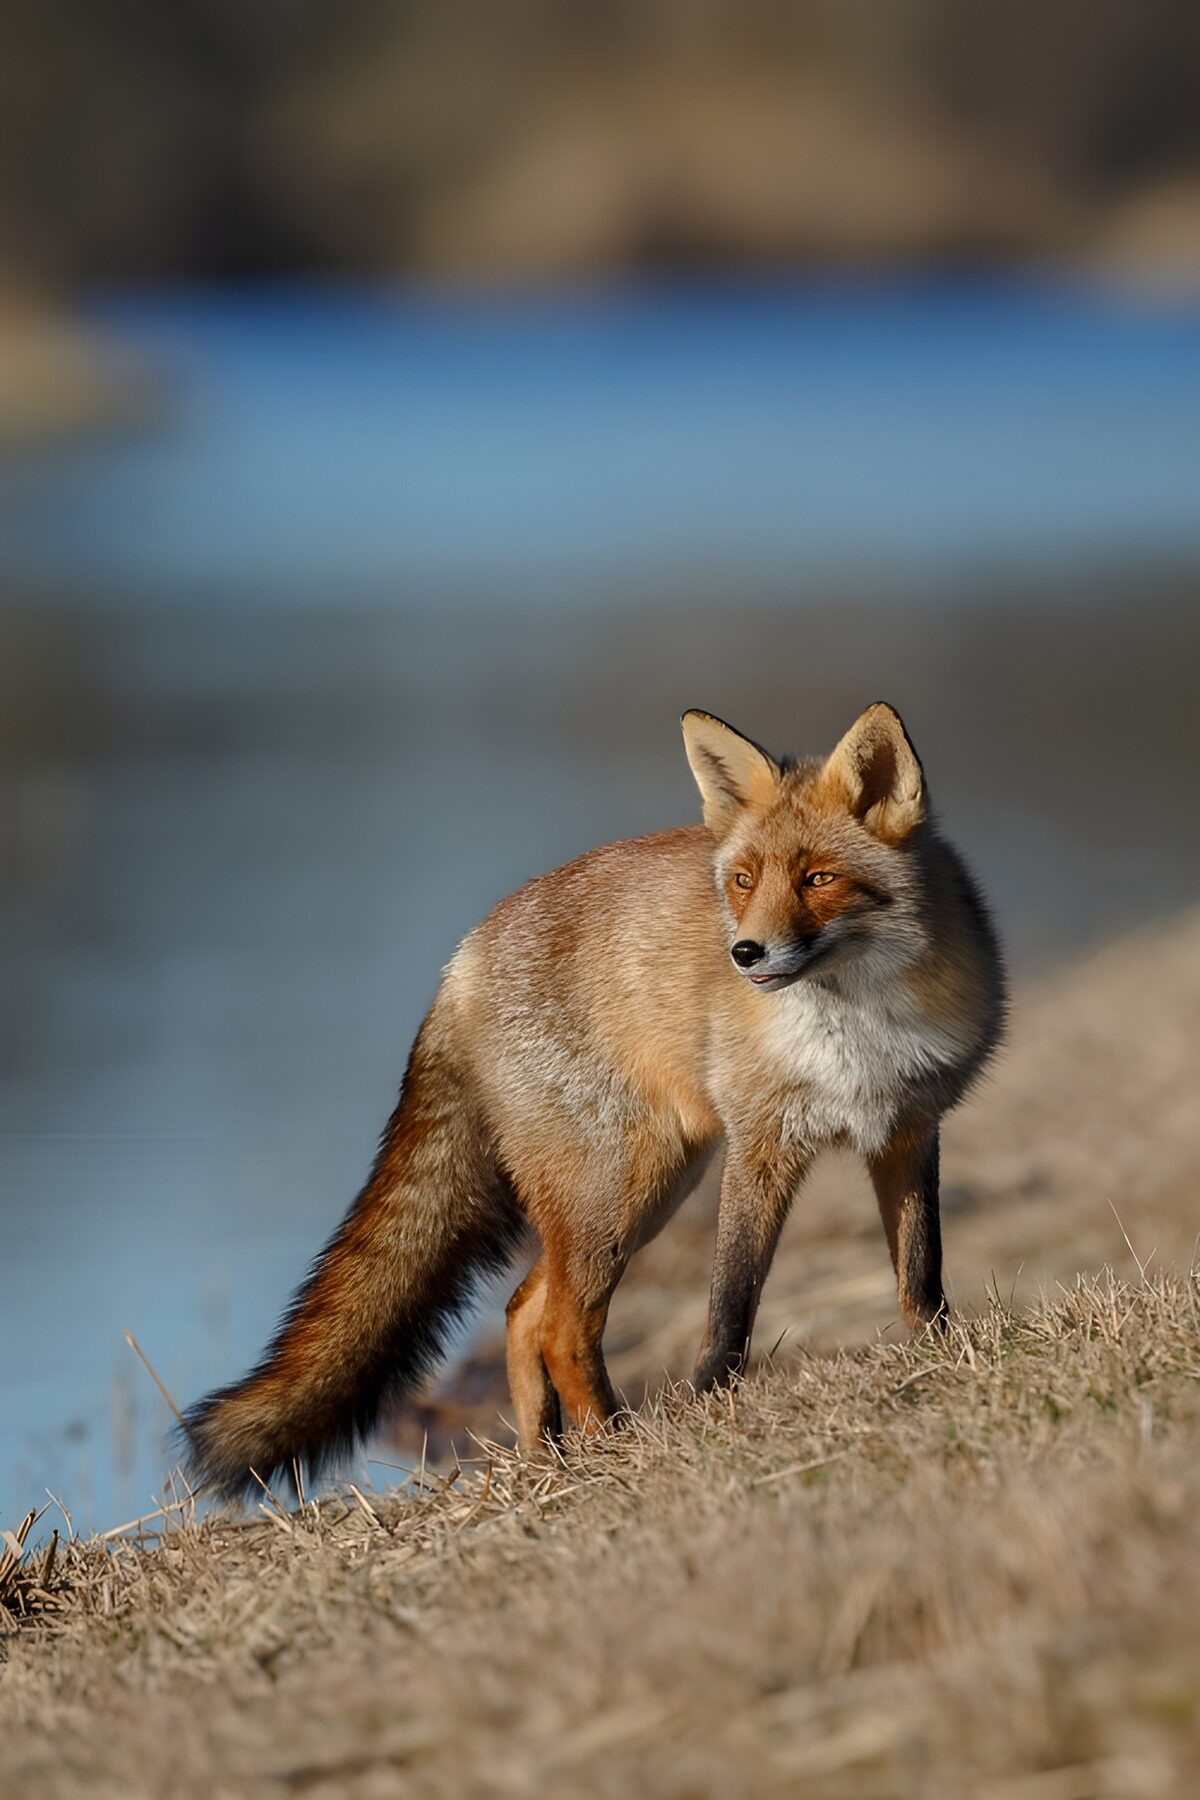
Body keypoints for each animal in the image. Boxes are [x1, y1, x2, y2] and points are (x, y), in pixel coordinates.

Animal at [183, 702, 1004, 1502]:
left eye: (818, 878)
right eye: (743, 881)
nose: (744, 954)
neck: (856, 1026)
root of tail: (463, 957)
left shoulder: (906, 1128)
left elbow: (920, 1274)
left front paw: (939, 1359)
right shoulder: (761, 1143)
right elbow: (730, 1302)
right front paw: (712, 1407)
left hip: (641, 1193)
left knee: (523, 1312)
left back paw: (548, 1457)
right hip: (619, 1190)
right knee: (561, 1329)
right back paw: (611, 1441)